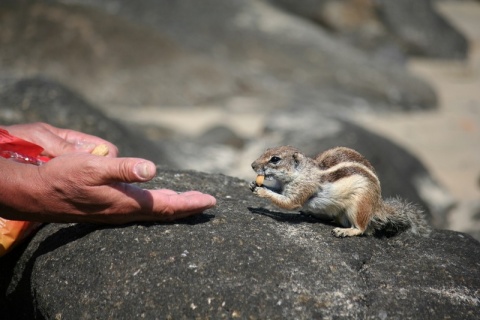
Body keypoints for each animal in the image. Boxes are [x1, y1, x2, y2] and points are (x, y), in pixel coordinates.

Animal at [249, 146, 430, 236]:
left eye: (275, 159)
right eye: (266, 151)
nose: (252, 165)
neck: (301, 171)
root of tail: (377, 207)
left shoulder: (303, 188)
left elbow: (290, 203)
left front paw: (262, 192)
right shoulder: (282, 186)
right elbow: (277, 190)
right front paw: (253, 185)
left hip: (359, 206)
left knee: (363, 230)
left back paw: (345, 231)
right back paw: (313, 214)